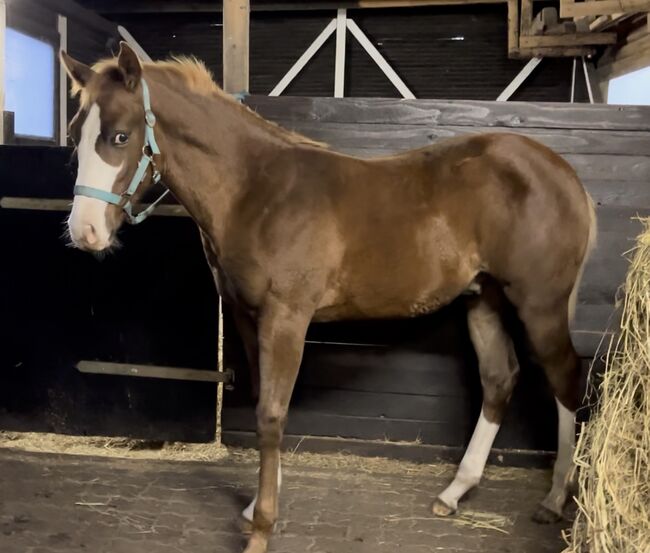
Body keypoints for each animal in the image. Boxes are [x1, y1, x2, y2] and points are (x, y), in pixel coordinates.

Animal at [63, 43, 596, 552]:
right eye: (73, 135)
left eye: (119, 136)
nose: (85, 232)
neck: (254, 192)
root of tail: (565, 174)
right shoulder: (247, 316)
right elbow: (263, 403)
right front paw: (256, 505)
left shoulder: (286, 317)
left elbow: (272, 413)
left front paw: (262, 528)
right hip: (483, 299)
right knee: (499, 378)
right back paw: (454, 492)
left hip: (539, 304)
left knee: (566, 378)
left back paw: (555, 498)